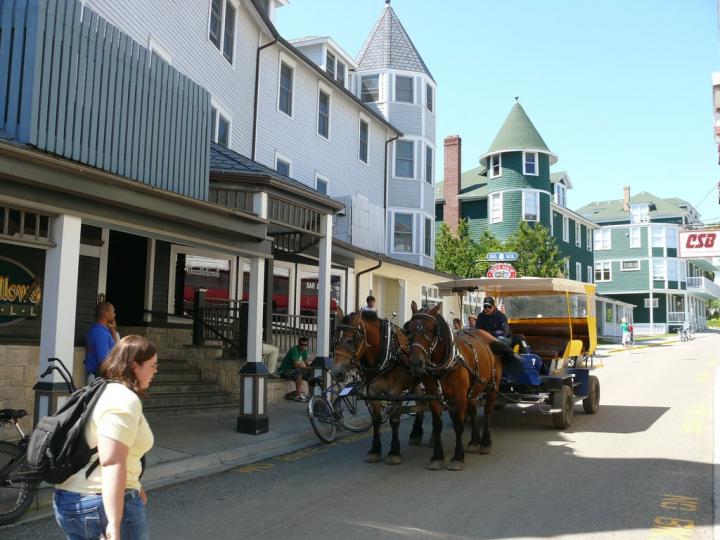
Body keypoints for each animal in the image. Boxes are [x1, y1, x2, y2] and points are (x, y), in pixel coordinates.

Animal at [334, 308, 424, 464]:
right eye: (335, 340)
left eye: (349, 340)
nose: (336, 372)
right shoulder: (372, 393)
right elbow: (376, 420)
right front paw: (374, 450)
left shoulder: (395, 393)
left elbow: (394, 420)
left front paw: (394, 452)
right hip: (415, 383)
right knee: (420, 403)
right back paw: (416, 433)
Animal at [404, 302, 516, 470]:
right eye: (409, 329)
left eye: (430, 330)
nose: (416, 363)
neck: (445, 363)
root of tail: (490, 338)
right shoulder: (434, 396)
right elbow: (437, 426)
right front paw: (437, 457)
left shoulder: (459, 395)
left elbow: (458, 425)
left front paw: (457, 457)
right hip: (474, 389)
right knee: (474, 410)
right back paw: (474, 441)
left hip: (492, 387)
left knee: (488, 411)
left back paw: (485, 442)